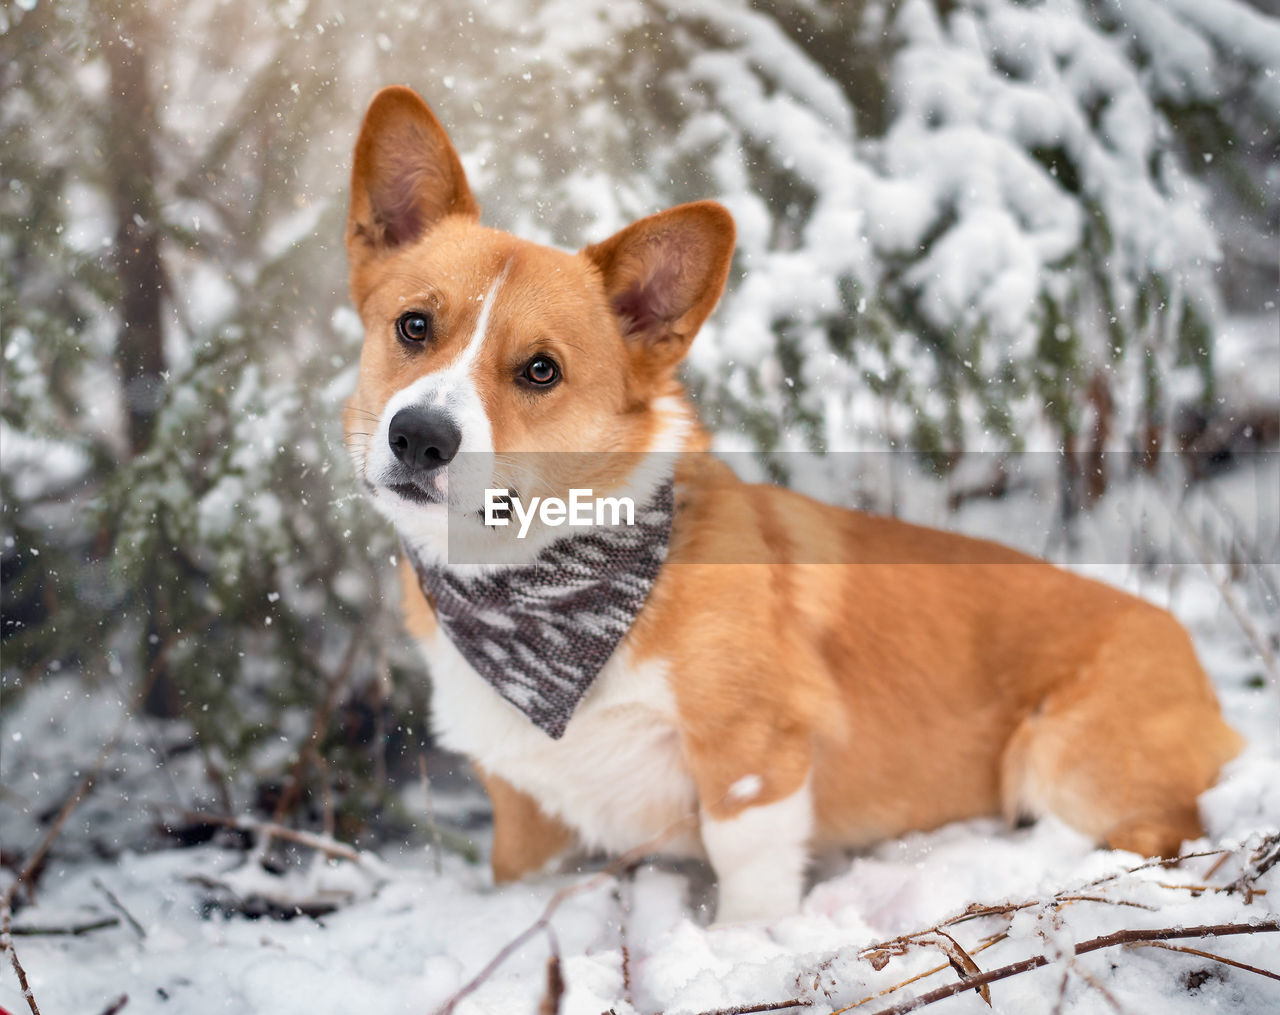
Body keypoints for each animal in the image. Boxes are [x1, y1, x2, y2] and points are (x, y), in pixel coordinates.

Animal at [340, 87, 1239, 921]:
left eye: (540, 370)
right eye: (414, 326)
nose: (419, 438)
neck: (544, 591)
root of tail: (1196, 662)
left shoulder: (754, 755)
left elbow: (750, 881)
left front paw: (737, 948)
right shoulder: (525, 812)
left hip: (1063, 761)